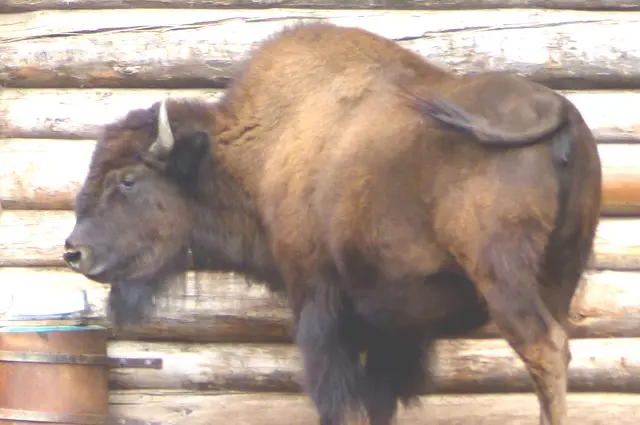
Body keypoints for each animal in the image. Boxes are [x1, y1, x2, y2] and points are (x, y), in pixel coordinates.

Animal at [63, 23, 602, 425]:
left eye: (128, 180)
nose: (74, 251)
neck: (263, 148)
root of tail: (555, 106)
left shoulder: (319, 302)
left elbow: (336, 400)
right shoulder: (392, 328)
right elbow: (380, 402)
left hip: (502, 277)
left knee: (544, 349)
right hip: (559, 274)